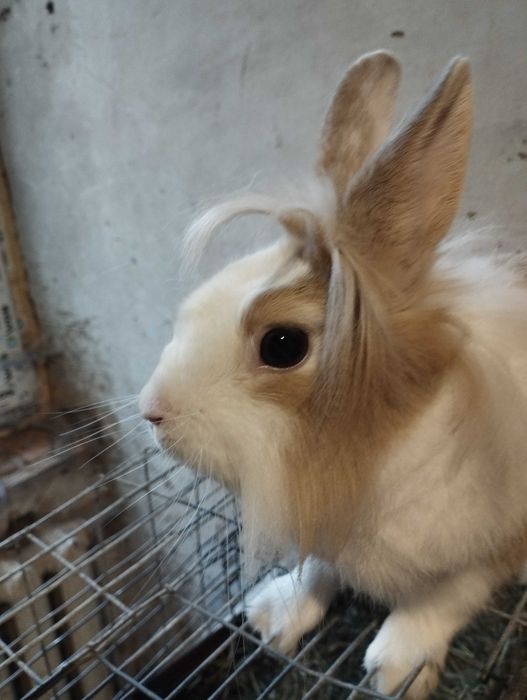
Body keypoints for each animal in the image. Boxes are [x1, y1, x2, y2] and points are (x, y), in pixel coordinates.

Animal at [139, 51, 527, 699]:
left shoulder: (489, 549)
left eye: (283, 344)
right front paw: (272, 617)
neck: (367, 452)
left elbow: (444, 597)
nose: (152, 412)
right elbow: (318, 567)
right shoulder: (322, 518)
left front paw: (396, 669)